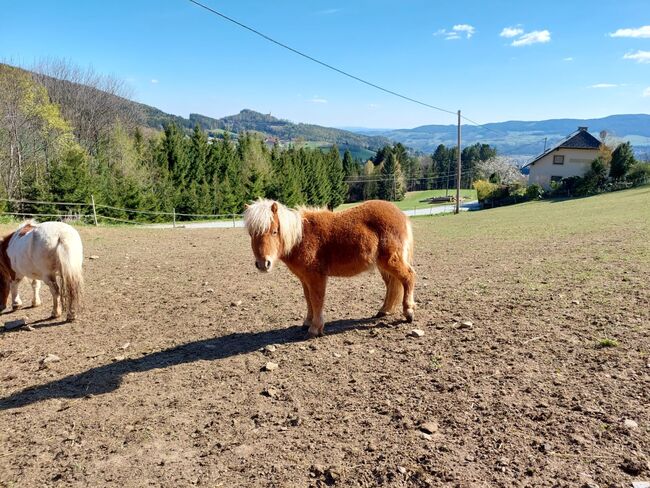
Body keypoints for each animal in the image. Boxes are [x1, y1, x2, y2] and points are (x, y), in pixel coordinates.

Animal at [243, 200, 416, 338]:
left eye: (274, 231)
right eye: (251, 234)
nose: (263, 264)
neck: (301, 238)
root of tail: (400, 214)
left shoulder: (316, 277)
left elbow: (317, 299)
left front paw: (315, 329)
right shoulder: (305, 279)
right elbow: (308, 299)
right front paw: (307, 322)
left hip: (391, 261)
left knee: (408, 277)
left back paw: (408, 312)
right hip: (383, 265)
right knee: (392, 285)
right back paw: (383, 311)